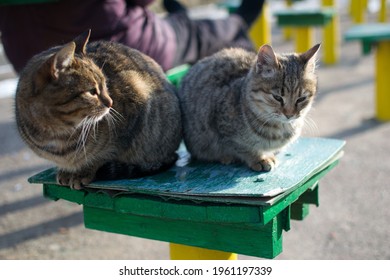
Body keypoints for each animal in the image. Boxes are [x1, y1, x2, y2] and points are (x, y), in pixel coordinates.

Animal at [13, 30, 181, 188]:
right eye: (92, 91)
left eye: (105, 84)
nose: (111, 102)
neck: (59, 132)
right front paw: (67, 171)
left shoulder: (135, 111)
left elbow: (103, 155)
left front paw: (83, 171)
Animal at [180, 44, 320, 171]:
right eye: (277, 97)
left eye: (301, 99)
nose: (289, 114)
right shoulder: (223, 128)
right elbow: (243, 147)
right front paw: (259, 158)